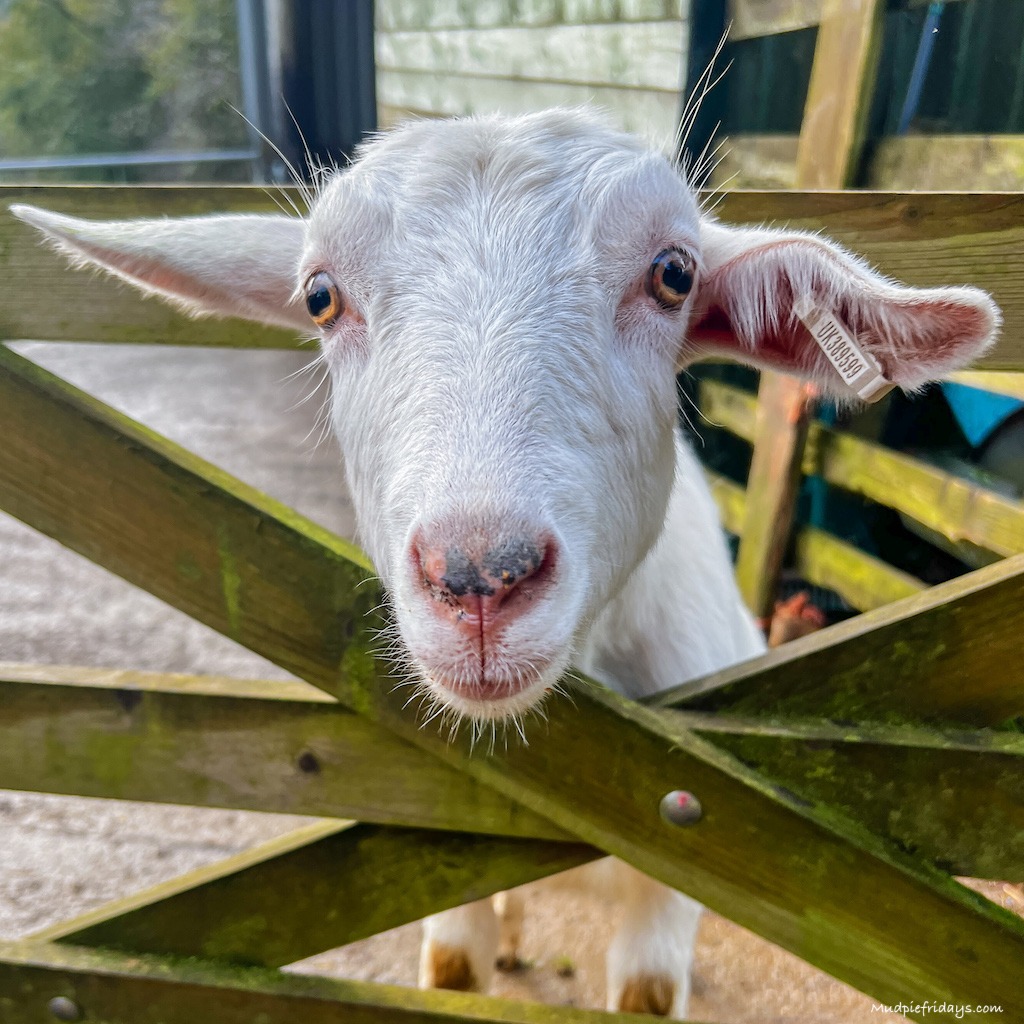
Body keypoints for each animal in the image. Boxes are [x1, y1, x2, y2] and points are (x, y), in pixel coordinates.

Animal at [12, 108, 999, 1017]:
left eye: (675, 275)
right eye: (320, 296)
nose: (480, 579)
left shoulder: (678, 868)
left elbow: (649, 992)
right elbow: (453, 971)